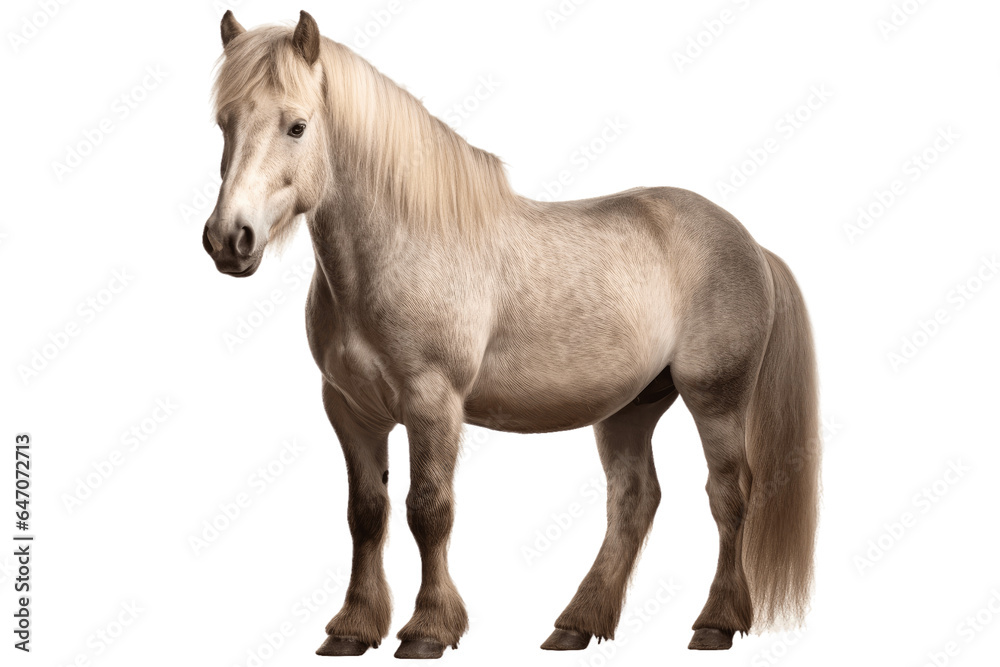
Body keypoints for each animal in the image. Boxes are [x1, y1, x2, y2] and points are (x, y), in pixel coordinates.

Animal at [202, 10, 820, 659]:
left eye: (297, 126)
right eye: (224, 123)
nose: (229, 239)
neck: (401, 247)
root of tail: (749, 242)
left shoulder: (433, 402)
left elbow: (429, 509)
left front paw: (428, 629)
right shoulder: (350, 409)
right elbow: (366, 513)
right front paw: (352, 627)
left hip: (716, 399)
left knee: (728, 495)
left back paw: (715, 623)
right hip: (631, 407)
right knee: (634, 500)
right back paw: (577, 624)